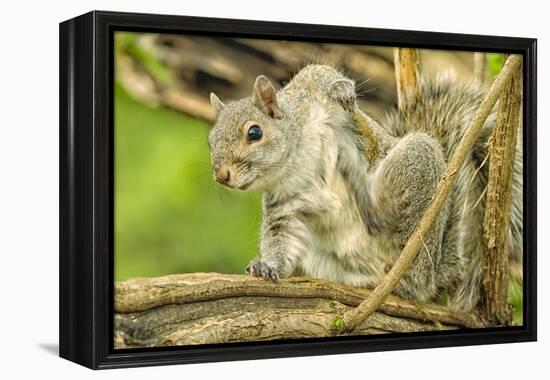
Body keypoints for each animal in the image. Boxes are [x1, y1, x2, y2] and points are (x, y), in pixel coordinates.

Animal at [209, 63, 524, 312]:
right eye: (211, 141)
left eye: (254, 132)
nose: (221, 176)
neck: (295, 159)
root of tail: (436, 271)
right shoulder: (284, 203)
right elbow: (281, 237)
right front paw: (268, 266)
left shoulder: (311, 91)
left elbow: (321, 74)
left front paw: (343, 91)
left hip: (415, 167)